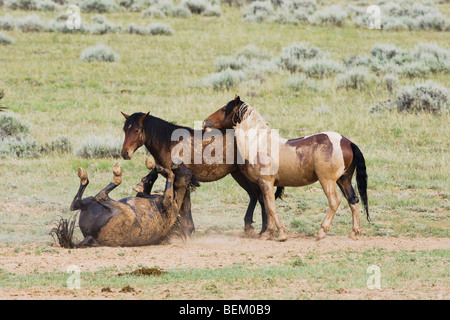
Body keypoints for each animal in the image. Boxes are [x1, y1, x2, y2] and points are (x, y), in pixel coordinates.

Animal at [52, 158, 195, 248]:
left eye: (188, 172)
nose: (176, 161)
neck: (176, 201)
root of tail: (90, 237)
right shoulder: (144, 195)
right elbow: (149, 180)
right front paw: (151, 166)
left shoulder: (167, 202)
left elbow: (170, 175)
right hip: (90, 203)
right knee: (76, 203)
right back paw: (84, 176)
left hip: (124, 210)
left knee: (100, 195)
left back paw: (116, 174)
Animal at [118, 112, 284, 235]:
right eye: (125, 129)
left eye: (137, 130)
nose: (125, 153)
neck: (170, 143)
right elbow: (184, 202)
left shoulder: (183, 177)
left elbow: (184, 203)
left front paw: (186, 230)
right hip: (239, 175)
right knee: (255, 196)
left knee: (261, 197)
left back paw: (264, 231)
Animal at [204, 96, 370, 241]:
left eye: (224, 109)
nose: (205, 122)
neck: (259, 144)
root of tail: (348, 142)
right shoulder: (265, 185)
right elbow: (267, 206)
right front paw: (268, 233)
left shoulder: (266, 182)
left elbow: (271, 207)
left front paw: (281, 234)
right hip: (344, 180)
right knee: (353, 200)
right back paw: (354, 233)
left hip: (327, 181)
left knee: (334, 201)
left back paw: (321, 232)